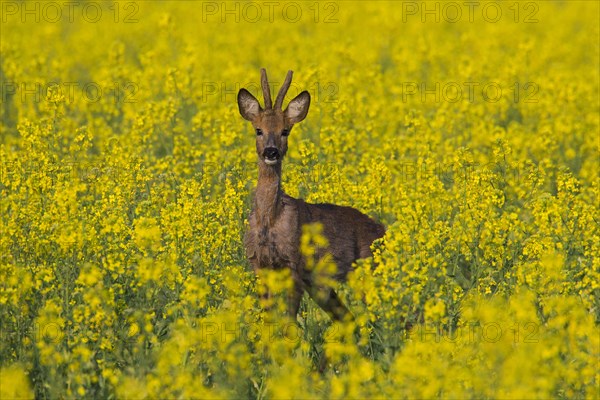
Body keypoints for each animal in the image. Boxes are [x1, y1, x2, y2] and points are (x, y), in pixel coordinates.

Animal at [236, 69, 384, 322]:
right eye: (258, 130)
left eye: (285, 131)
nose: (271, 152)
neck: (270, 220)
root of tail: (383, 230)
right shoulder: (258, 263)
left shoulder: (294, 264)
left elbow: (288, 322)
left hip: (368, 268)